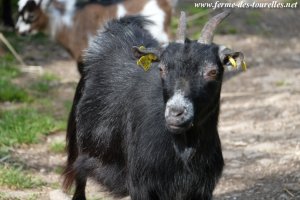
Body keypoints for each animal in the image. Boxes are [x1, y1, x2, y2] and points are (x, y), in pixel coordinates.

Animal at [62, 10, 245, 200]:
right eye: (161, 68)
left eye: (213, 72)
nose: (175, 113)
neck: (183, 147)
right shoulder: (141, 185)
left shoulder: (201, 187)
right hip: (79, 150)